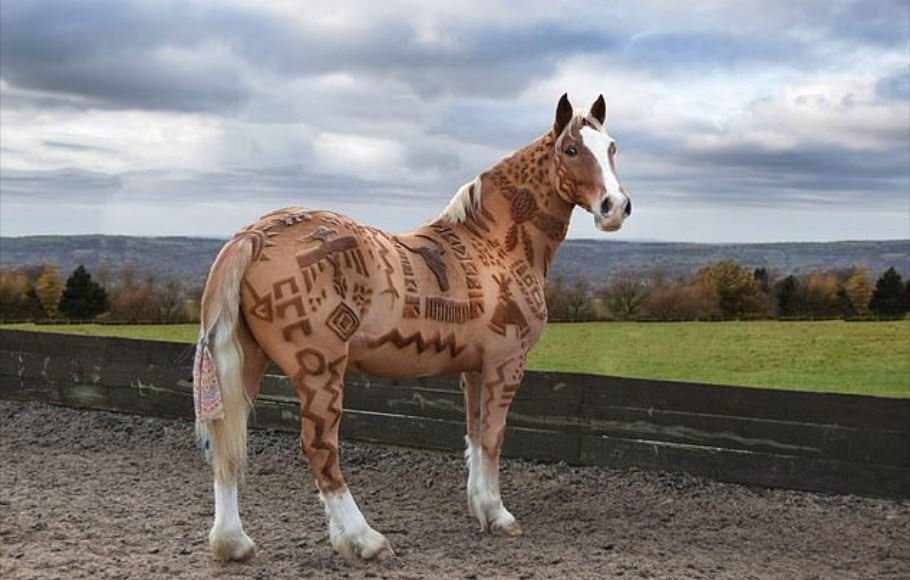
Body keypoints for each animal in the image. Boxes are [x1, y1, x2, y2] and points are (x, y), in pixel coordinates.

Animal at [192, 94, 636, 560]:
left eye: (612, 147)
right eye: (571, 149)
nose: (615, 207)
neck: (493, 245)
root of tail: (255, 235)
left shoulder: (473, 370)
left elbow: (475, 435)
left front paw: (481, 509)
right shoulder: (505, 364)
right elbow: (493, 437)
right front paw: (499, 515)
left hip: (247, 364)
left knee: (227, 445)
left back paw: (235, 542)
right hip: (320, 371)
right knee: (319, 449)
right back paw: (365, 538)